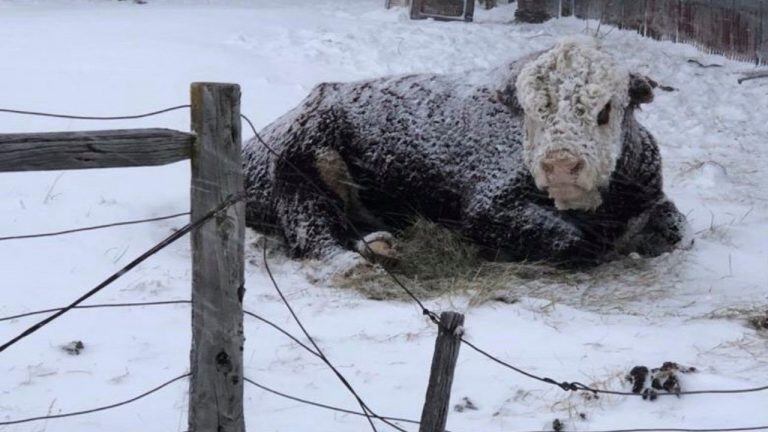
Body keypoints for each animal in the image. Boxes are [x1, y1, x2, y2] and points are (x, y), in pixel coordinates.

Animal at [243, 38, 688, 266]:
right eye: (531, 110)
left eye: (605, 109)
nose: (560, 166)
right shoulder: (487, 208)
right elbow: (575, 242)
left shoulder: (654, 198)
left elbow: (679, 230)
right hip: (302, 171)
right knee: (316, 239)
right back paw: (368, 255)